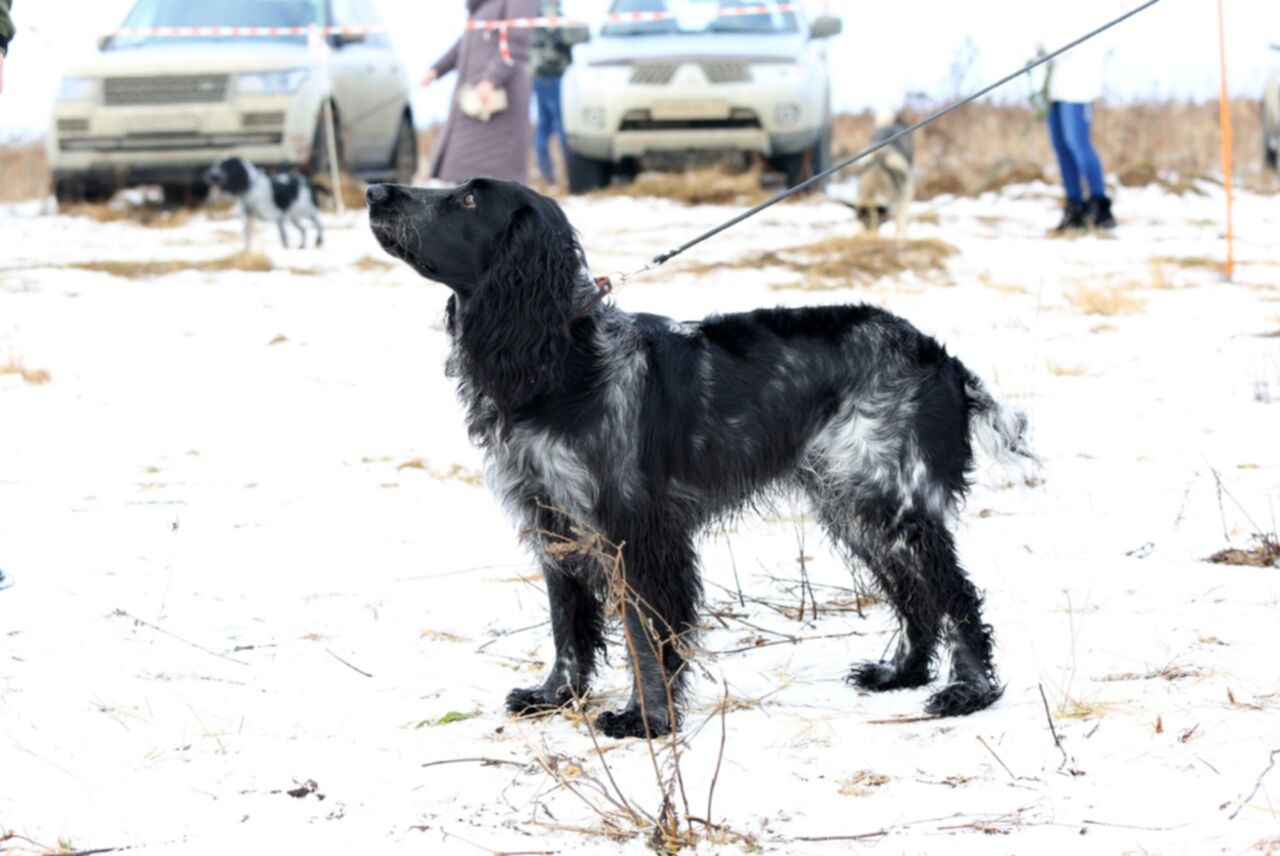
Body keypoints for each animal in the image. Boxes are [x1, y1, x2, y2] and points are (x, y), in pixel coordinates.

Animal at [366, 176, 1034, 737]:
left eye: (468, 199)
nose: (375, 190)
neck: (563, 357)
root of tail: (942, 359)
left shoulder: (634, 532)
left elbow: (645, 634)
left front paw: (646, 719)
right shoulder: (553, 520)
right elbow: (567, 625)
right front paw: (555, 696)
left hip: (892, 500)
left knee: (954, 595)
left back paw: (969, 691)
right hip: (852, 505)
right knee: (915, 595)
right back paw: (901, 674)